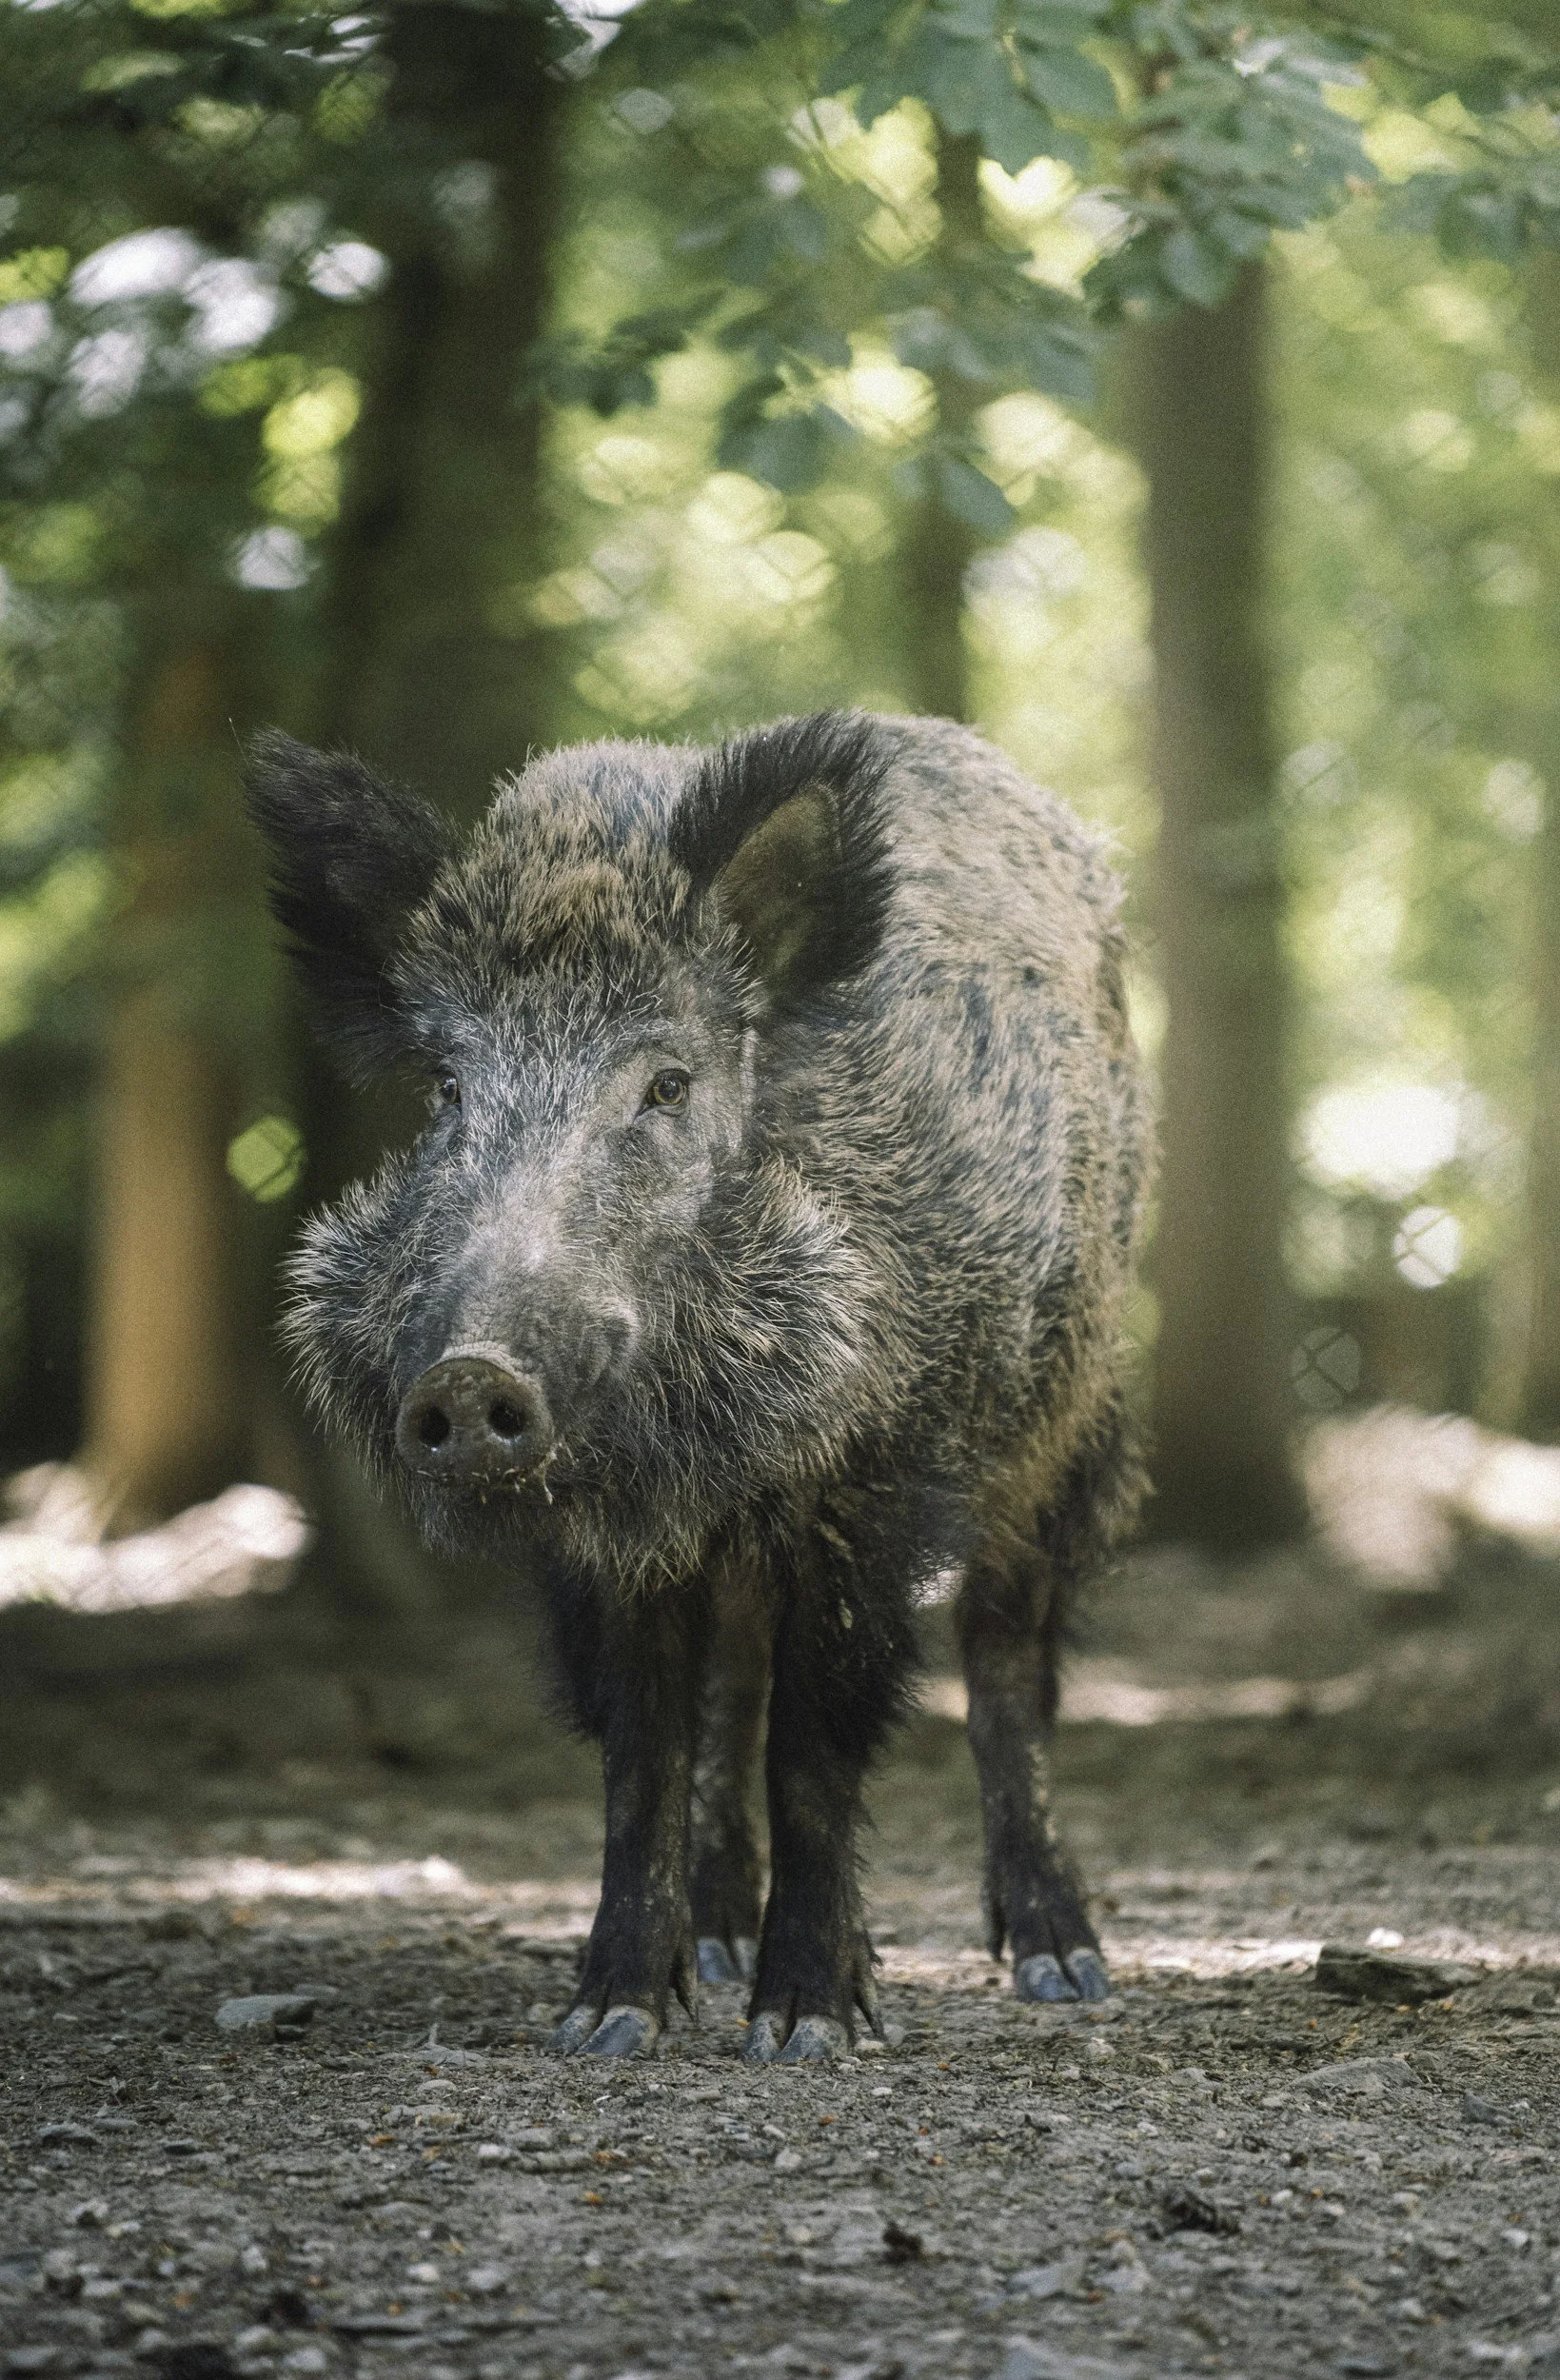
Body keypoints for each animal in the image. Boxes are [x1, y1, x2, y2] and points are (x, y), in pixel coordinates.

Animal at [247, 710, 1150, 2061]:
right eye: (449, 1089)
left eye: (666, 1085)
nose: (469, 1376)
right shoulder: (605, 1540)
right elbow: (647, 1747)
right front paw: (606, 2020)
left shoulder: (877, 1481)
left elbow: (816, 1742)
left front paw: (804, 2030)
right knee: (733, 1681)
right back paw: (719, 1945)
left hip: (1064, 1416)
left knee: (1004, 1659)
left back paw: (1059, 1964)